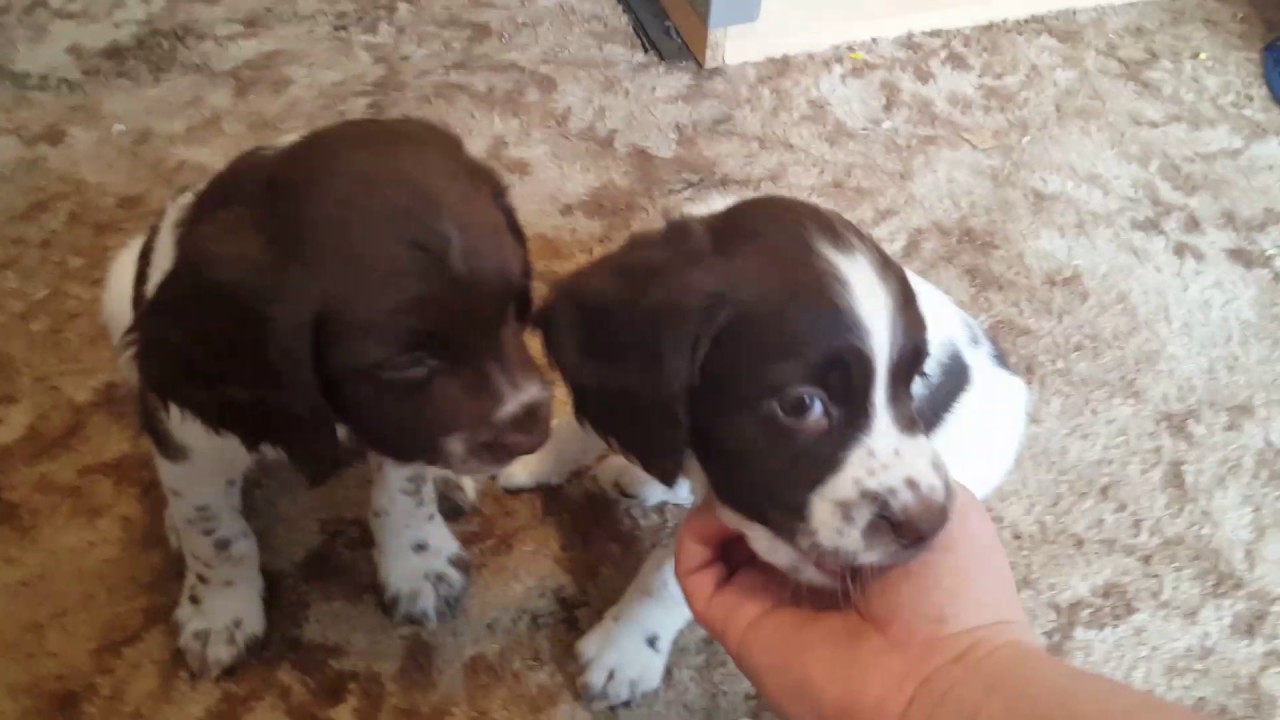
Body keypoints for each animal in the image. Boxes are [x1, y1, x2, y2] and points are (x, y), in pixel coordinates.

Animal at [102, 116, 552, 671]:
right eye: (405, 361)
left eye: (517, 306)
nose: (533, 427)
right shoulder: (187, 438)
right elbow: (216, 533)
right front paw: (220, 614)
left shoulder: (396, 421)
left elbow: (404, 491)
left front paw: (419, 564)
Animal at [499, 193, 1029, 702]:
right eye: (799, 404)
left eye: (913, 382)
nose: (928, 527)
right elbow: (581, 427)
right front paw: (532, 460)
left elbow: (667, 569)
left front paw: (625, 647)